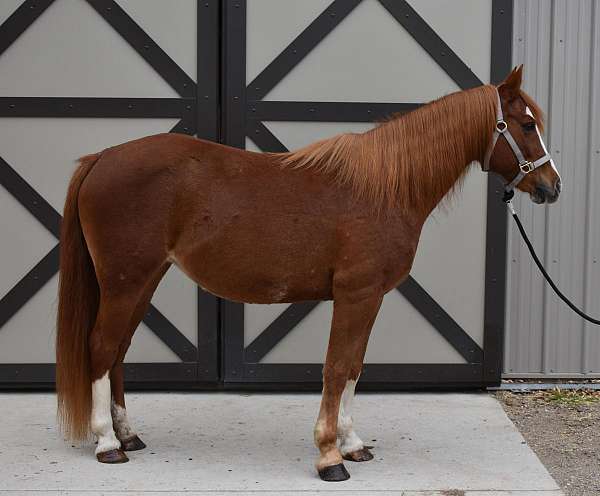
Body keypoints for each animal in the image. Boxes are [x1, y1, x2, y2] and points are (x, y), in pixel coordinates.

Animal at [56, 67, 564, 480]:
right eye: (526, 124)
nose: (552, 186)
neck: (383, 189)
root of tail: (102, 157)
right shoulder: (356, 294)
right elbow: (336, 368)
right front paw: (329, 456)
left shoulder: (371, 297)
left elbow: (354, 367)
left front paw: (353, 445)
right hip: (125, 282)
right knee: (101, 348)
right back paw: (107, 444)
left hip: (143, 281)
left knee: (117, 352)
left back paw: (128, 435)